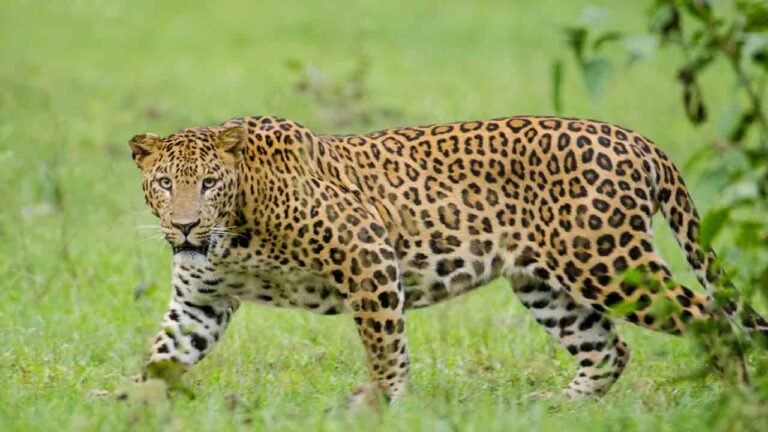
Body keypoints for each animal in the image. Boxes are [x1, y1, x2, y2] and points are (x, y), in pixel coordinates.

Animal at [129, 115, 768, 402]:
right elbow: (163, 354)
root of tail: (638, 140)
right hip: (545, 284)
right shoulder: (201, 301)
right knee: (609, 348)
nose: (185, 225)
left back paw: (738, 399)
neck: (234, 231)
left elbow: (384, 345)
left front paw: (380, 403)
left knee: (712, 318)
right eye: (164, 184)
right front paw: (126, 404)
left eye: (209, 183)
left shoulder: (367, 253)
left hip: (607, 262)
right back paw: (561, 408)